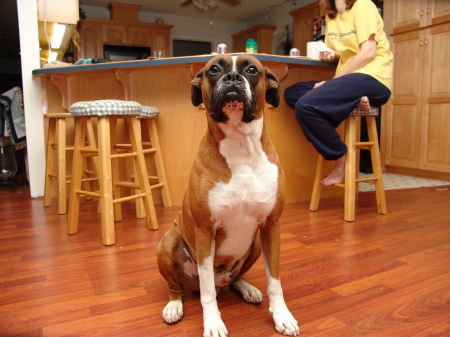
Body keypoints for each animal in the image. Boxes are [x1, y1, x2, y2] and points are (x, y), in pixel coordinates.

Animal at [156, 53, 298, 334]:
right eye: (214, 69)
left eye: (252, 69)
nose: (232, 77)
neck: (240, 145)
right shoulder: (205, 230)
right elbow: (207, 291)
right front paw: (213, 323)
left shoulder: (271, 226)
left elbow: (275, 281)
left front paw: (281, 315)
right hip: (168, 242)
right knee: (179, 287)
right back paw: (174, 306)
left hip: (256, 243)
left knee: (235, 278)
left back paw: (247, 288)